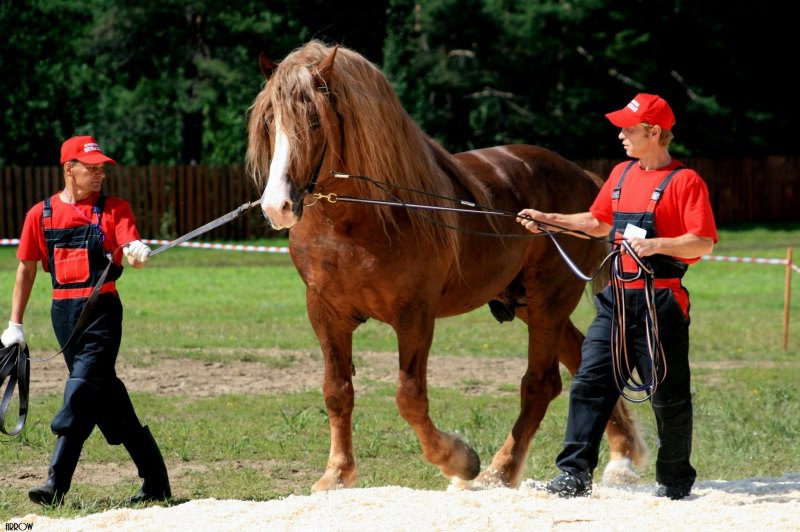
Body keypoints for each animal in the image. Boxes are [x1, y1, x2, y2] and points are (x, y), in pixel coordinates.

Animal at [244, 41, 644, 490]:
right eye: (267, 122)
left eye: (313, 121)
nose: (277, 206)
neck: (356, 221)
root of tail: (587, 182)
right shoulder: (325, 313)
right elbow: (337, 391)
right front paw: (337, 473)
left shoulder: (415, 315)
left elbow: (409, 397)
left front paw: (458, 460)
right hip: (529, 304)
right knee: (580, 364)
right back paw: (622, 458)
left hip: (549, 302)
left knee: (540, 384)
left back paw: (499, 471)